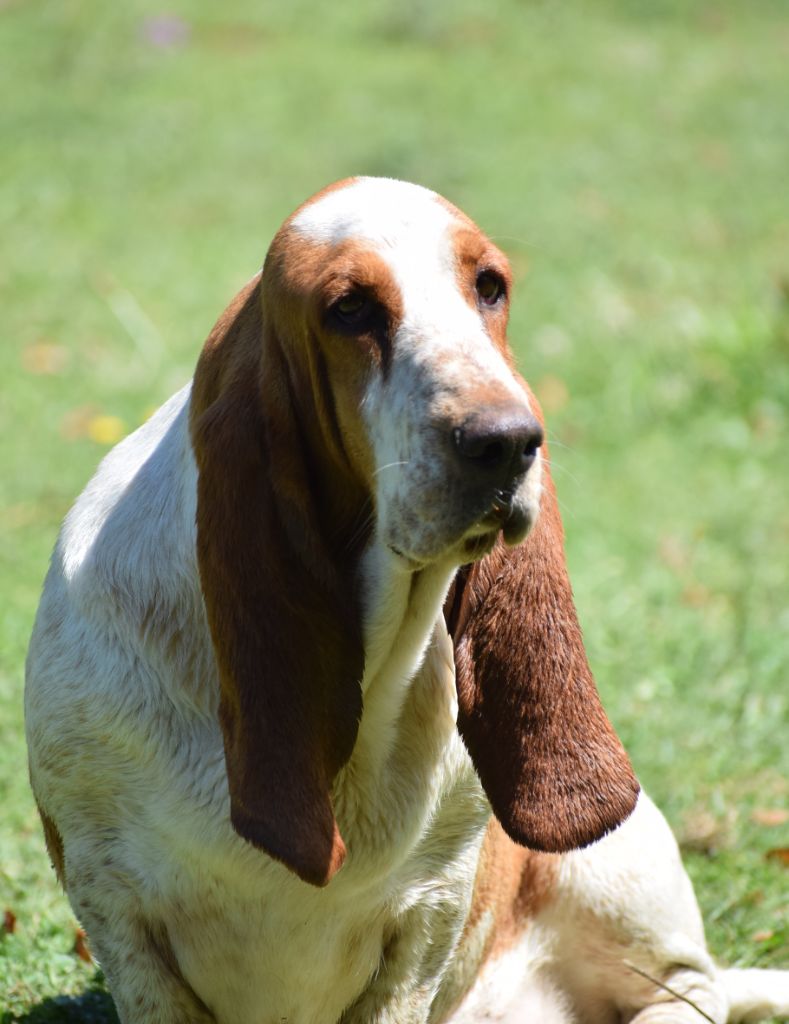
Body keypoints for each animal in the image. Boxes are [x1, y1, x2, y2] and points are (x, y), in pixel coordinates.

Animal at [26, 180, 789, 1019]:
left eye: (489, 286)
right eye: (349, 308)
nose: (507, 440)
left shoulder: (427, 914)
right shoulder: (113, 900)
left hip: (620, 870)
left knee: (691, 985)